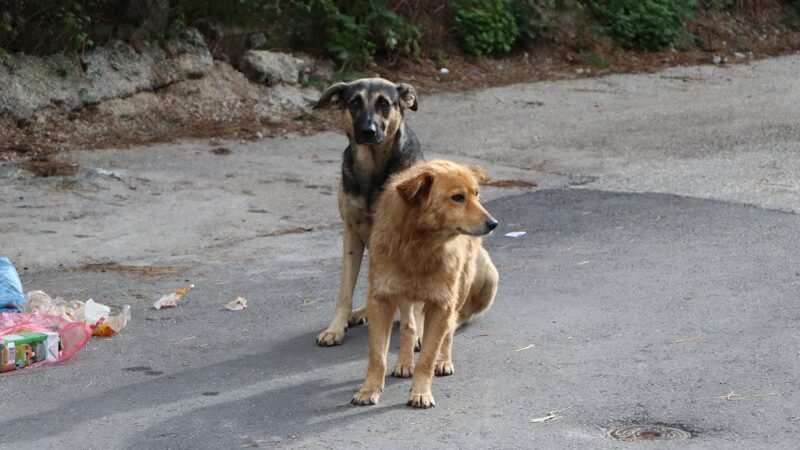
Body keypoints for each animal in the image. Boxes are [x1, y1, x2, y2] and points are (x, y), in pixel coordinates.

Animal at [314, 77, 424, 346]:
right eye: (354, 102)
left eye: (384, 103)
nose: (368, 131)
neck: (373, 167)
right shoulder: (351, 233)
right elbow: (345, 290)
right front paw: (336, 328)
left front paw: (417, 332)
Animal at [352, 161, 496, 408]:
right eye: (458, 197)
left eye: (476, 194)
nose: (493, 223)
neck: (419, 246)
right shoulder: (381, 299)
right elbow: (377, 355)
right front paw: (368, 390)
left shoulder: (441, 304)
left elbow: (427, 358)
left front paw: (421, 392)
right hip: (406, 296)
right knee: (409, 326)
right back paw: (404, 363)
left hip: (461, 289)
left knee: (450, 328)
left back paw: (444, 360)